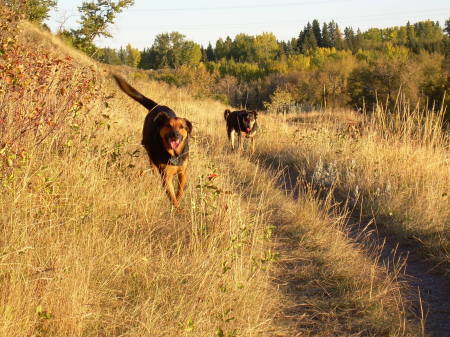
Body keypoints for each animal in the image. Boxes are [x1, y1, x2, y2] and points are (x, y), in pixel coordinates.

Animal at [112, 75, 192, 206]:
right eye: (168, 126)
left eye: (182, 127)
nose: (175, 135)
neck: (174, 154)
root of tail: (157, 106)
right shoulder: (166, 176)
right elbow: (172, 196)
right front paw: (176, 207)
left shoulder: (183, 172)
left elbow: (180, 189)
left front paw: (179, 199)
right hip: (148, 148)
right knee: (152, 163)